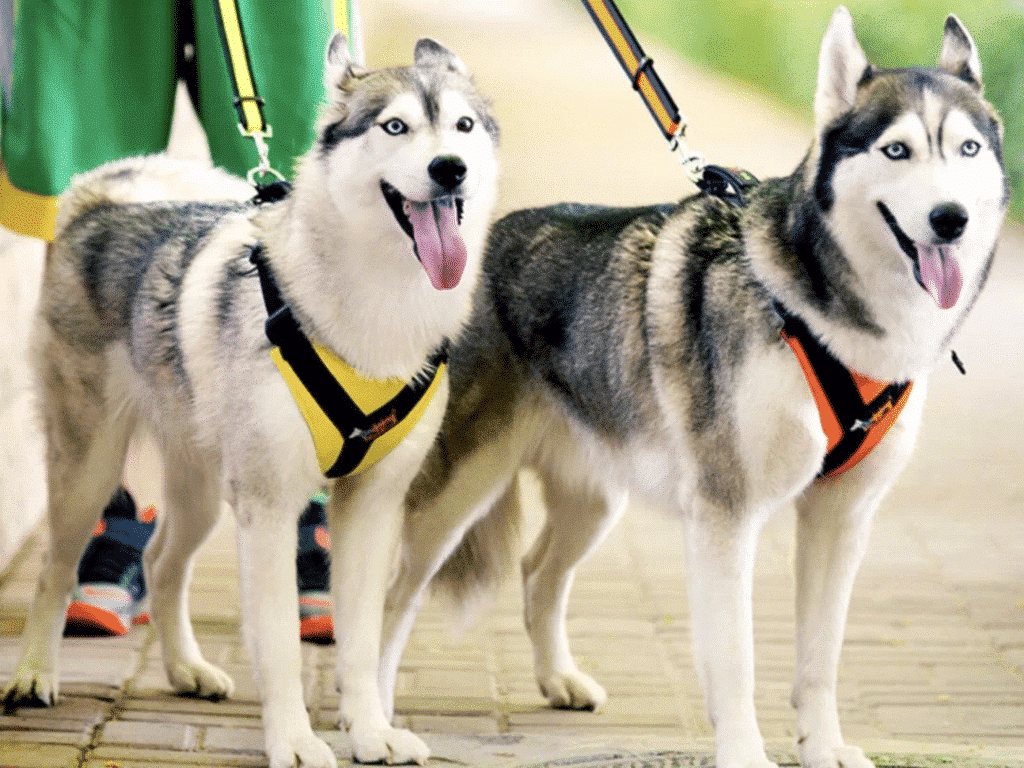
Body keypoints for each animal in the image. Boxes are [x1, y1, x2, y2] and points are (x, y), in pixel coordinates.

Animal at [4, 33, 499, 768]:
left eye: (463, 126)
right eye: (394, 127)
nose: (450, 169)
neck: (376, 306)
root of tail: (105, 199)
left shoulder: (371, 508)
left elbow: (359, 641)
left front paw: (371, 731)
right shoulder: (267, 507)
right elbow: (280, 646)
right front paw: (294, 741)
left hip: (204, 489)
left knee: (163, 563)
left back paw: (186, 670)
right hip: (89, 470)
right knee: (55, 571)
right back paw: (36, 674)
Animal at [372, 10, 1003, 768]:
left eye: (967, 148)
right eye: (898, 149)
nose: (950, 218)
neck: (829, 316)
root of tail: (473, 248)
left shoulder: (841, 517)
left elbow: (820, 659)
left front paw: (824, 747)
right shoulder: (725, 516)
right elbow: (734, 659)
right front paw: (746, 754)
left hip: (595, 498)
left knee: (537, 573)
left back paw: (559, 679)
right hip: (456, 492)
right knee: (392, 598)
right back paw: (373, 717)